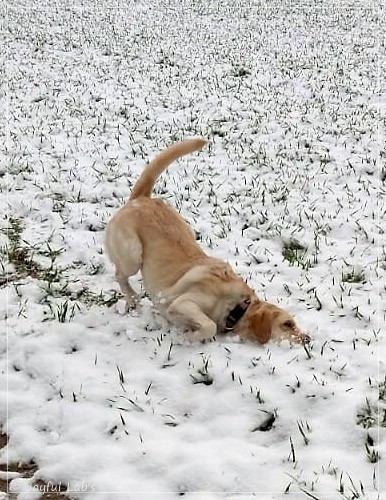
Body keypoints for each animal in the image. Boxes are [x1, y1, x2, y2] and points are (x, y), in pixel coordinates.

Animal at [104, 139, 310, 346]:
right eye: (288, 324)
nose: (307, 338)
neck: (236, 307)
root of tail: (142, 198)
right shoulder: (184, 302)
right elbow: (209, 326)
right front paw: (187, 336)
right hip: (133, 255)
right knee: (120, 274)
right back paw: (133, 299)